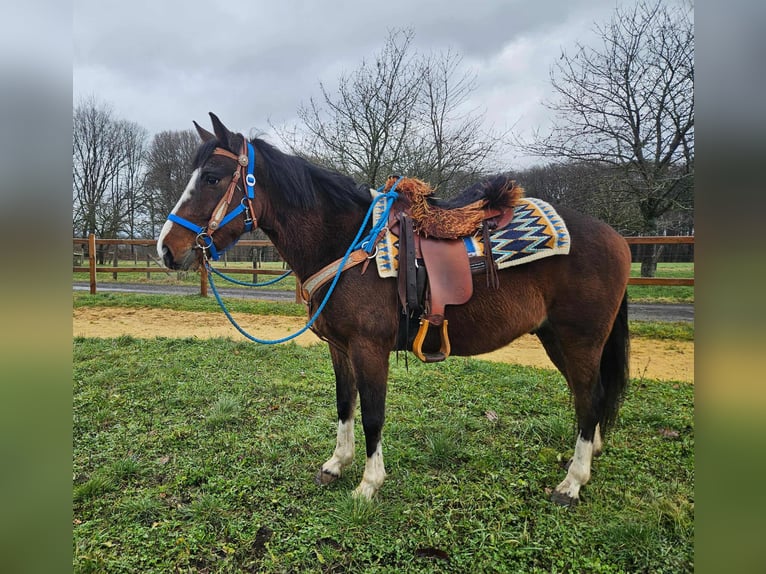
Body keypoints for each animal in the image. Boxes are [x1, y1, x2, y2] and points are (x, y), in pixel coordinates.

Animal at [157, 113, 631, 506]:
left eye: (213, 178)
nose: (166, 249)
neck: (346, 242)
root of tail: (614, 236)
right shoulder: (340, 348)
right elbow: (345, 404)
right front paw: (336, 464)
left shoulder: (370, 349)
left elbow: (372, 414)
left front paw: (369, 484)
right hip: (556, 338)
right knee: (587, 399)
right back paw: (585, 460)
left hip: (580, 339)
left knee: (589, 398)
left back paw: (572, 483)